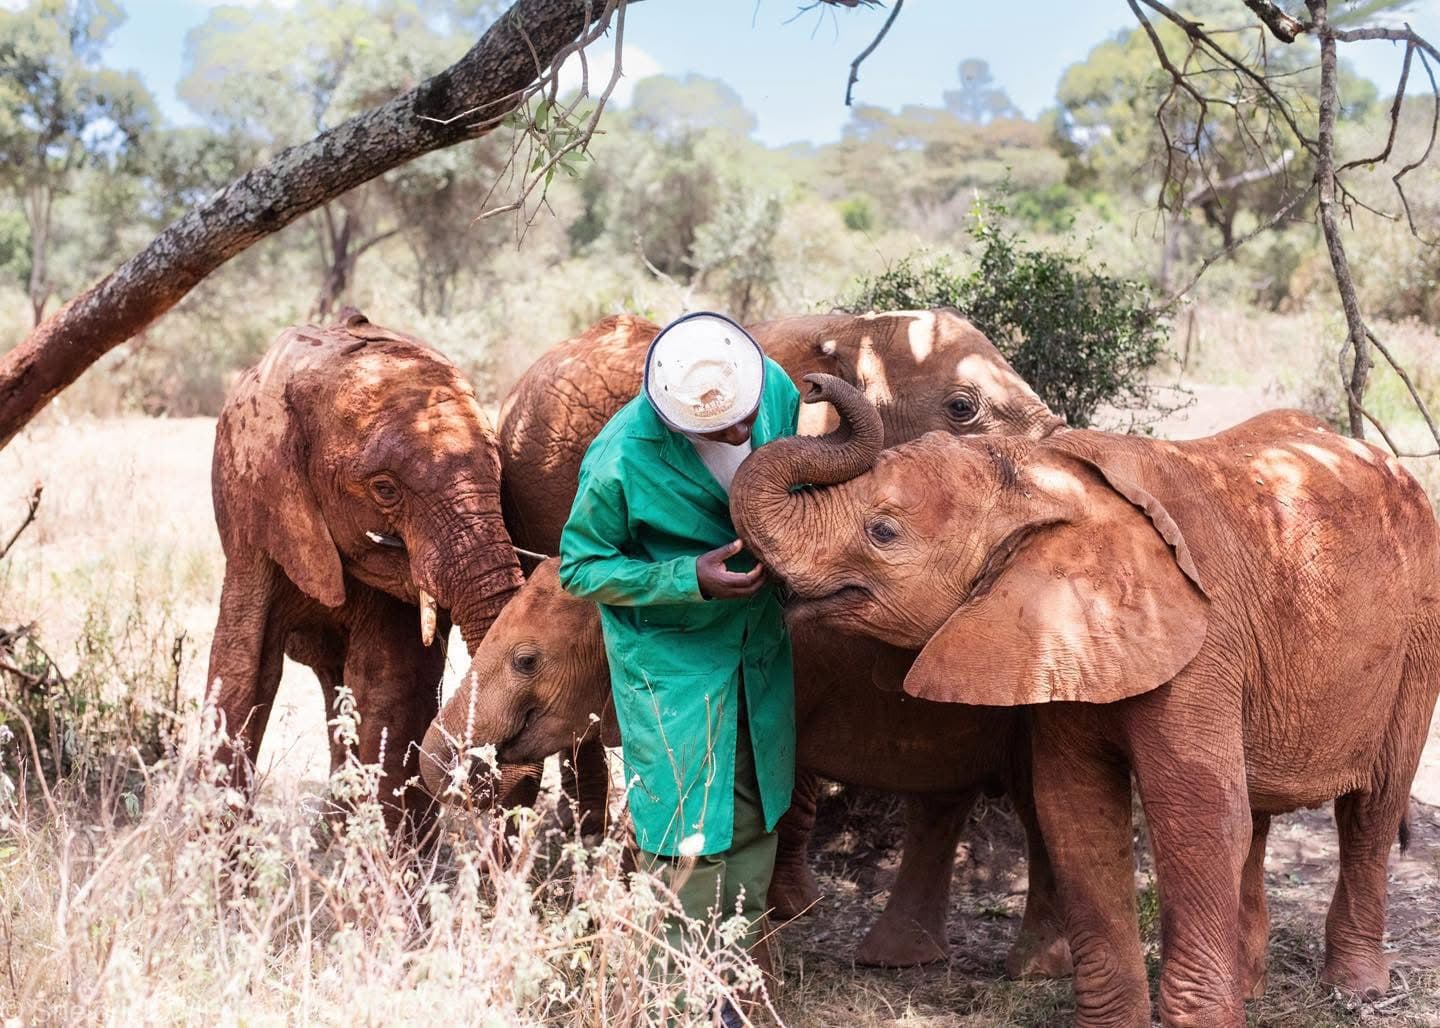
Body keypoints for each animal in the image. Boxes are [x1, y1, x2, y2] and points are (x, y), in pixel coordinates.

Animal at [728, 373, 1440, 1026]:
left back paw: (1356, 989)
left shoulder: (1203, 642)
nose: (816, 381)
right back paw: (1254, 991)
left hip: (1418, 640)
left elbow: (1197, 815)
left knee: (1371, 808)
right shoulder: (1064, 646)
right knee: (1259, 810)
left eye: (882, 532)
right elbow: (1075, 813)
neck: (1052, 478)